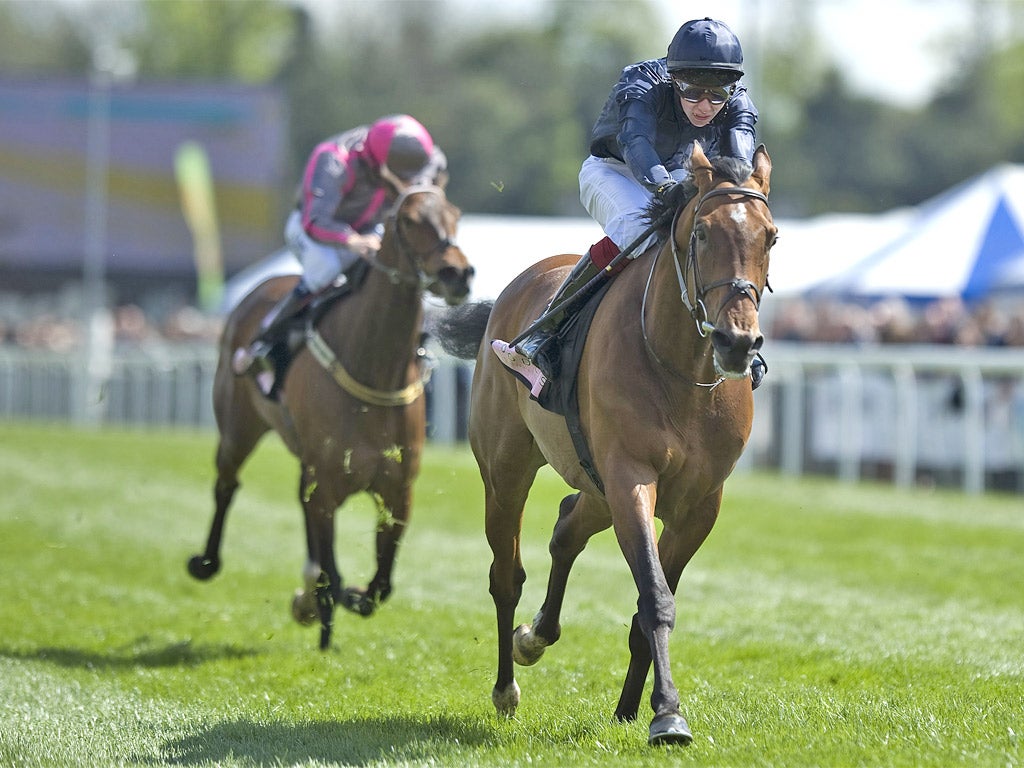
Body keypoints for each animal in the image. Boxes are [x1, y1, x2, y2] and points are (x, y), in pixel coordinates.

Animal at [189, 185, 475, 651]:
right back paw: (207, 562)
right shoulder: (326, 486)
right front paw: (321, 614)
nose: (458, 273)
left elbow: (380, 584)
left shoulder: (397, 491)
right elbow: (332, 574)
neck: (373, 366)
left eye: (455, 214)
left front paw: (342, 598)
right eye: (410, 219)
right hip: (237, 426)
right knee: (227, 484)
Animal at [434, 143, 774, 745]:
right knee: (506, 574)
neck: (682, 371)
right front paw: (668, 714)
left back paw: (536, 636)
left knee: (567, 526)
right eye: (702, 234)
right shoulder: (630, 477)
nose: (737, 342)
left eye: (771, 237)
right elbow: (655, 598)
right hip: (506, 469)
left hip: (593, 483)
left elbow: (650, 604)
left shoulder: (698, 504)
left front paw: (634, 708)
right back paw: (506, 684)